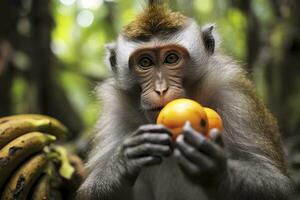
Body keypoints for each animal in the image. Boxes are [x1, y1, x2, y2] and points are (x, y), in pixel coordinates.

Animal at [77, 0, 292, 199]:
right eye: (145, 62)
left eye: (171, 58)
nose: (160, 89)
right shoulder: (115, 111)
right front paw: (123, 163)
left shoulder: (233, 94)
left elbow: (278, 185)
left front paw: (217, 171)